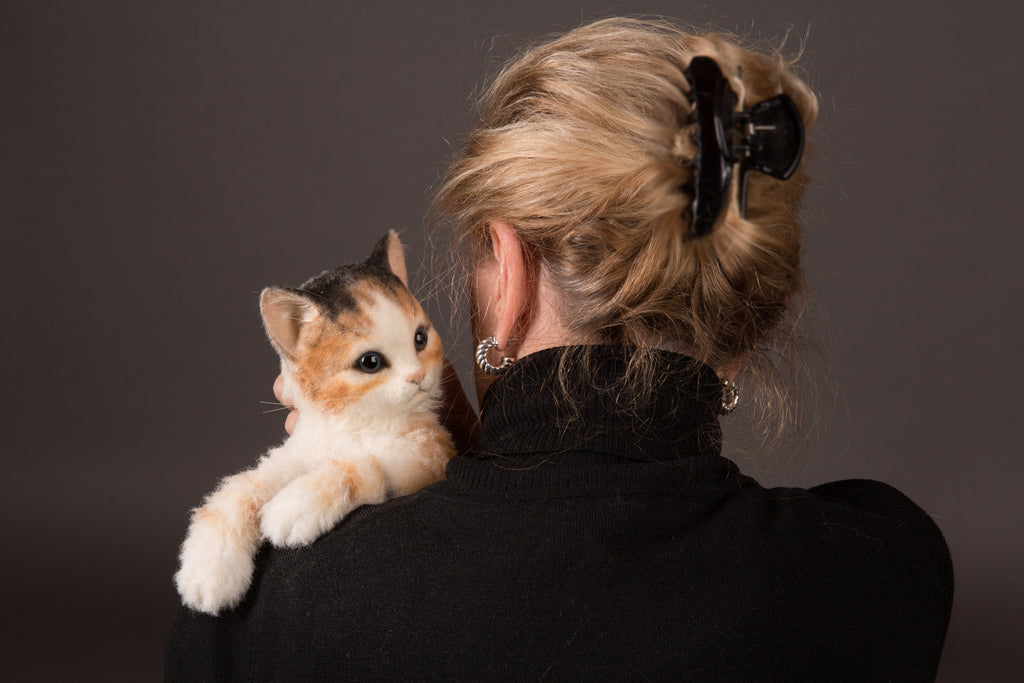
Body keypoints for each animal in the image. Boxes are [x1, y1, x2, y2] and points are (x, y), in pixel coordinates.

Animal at [174, 232, 454, 618]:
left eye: (420, 338)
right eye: (370, 362)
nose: (418, 376)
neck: (350, 424)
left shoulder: (430, 460)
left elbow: (361, 465)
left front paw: (296, 506)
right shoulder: (295, 454)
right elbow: (241, 489)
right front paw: (208, 569)